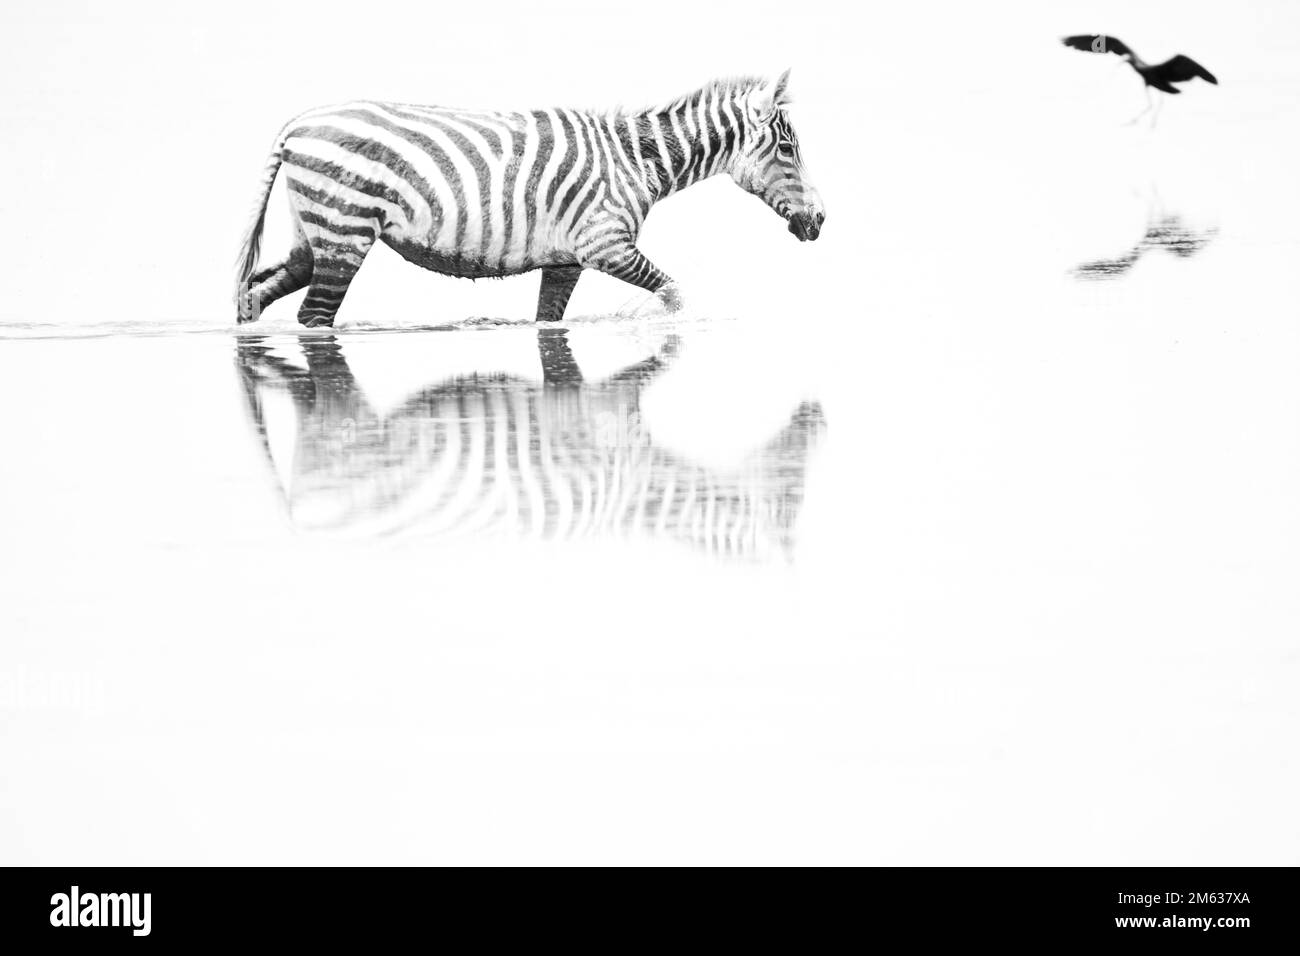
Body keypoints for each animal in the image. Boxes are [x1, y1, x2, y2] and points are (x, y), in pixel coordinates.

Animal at [235, 71, 825, 327]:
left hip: (318, 235)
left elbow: (548, 323)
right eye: (788, 148)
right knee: (313, 318)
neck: (637, 161)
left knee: (256, 292)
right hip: (344, 234)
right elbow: (676, 294)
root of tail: (297, 126)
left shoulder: (567, 262)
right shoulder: (606, 245)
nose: (820, 221)